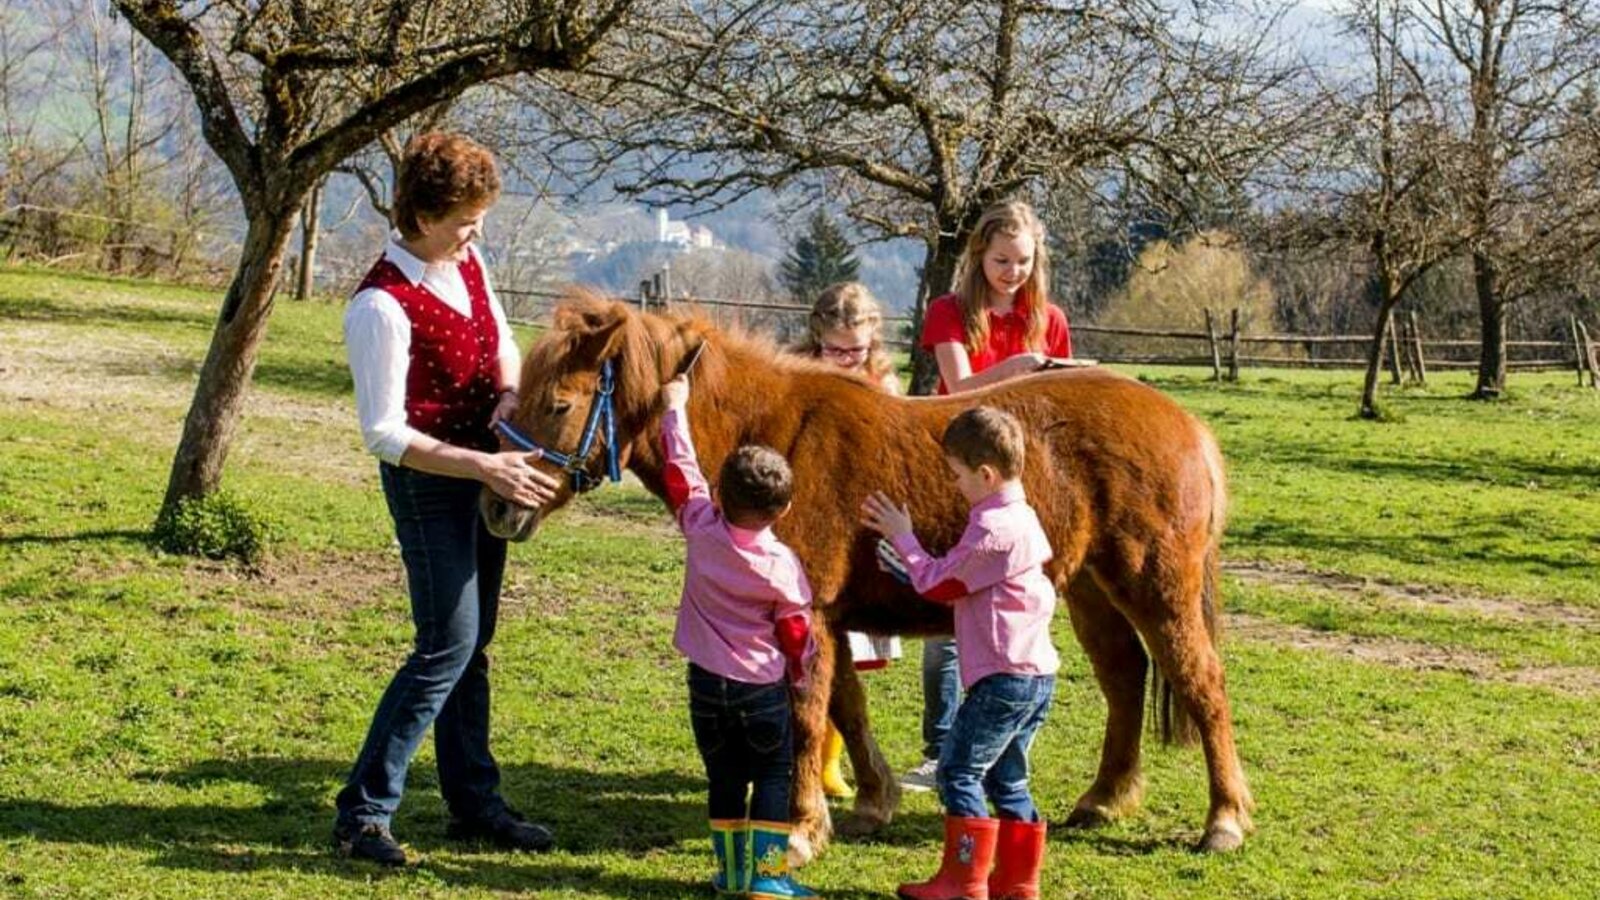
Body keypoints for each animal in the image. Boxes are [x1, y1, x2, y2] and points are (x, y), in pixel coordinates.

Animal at [480, 294, 1254, 864]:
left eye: (558, 404)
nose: (497, 505)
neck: (776, 437)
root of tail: (1187, 426)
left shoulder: (805, 612)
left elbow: (805, 713)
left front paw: (798, 831)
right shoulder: (826, 616)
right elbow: (845, 709)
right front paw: (868, 804)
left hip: (1154, 585)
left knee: (1201, 682)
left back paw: (1224, 819)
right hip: (1091, 586)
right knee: (1125, 677)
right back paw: (1104, 799)